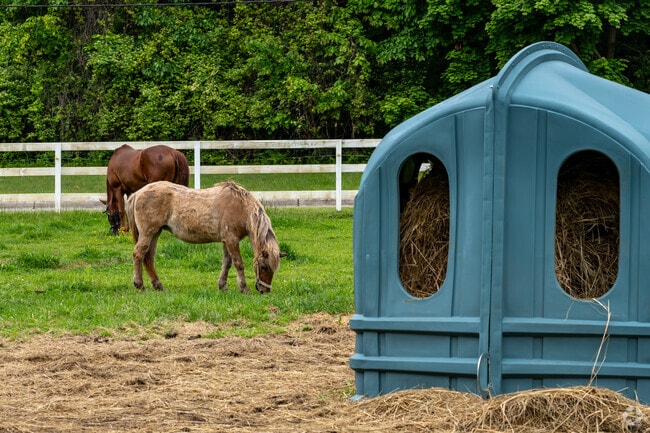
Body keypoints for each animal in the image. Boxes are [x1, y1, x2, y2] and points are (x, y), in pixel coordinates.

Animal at [125, 180, 285, 294]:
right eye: (264, 267)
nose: (265, 290)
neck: (241, 207)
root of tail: (137, 193)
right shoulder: (232, 241)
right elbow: (238, 263)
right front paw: (244, 288)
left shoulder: (226, 241)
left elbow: (227, 263)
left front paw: (223, 286)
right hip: (148, 233)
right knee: (139, 254)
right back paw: (139, 285)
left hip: (155, 233)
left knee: (149, 257)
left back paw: (158, 285)